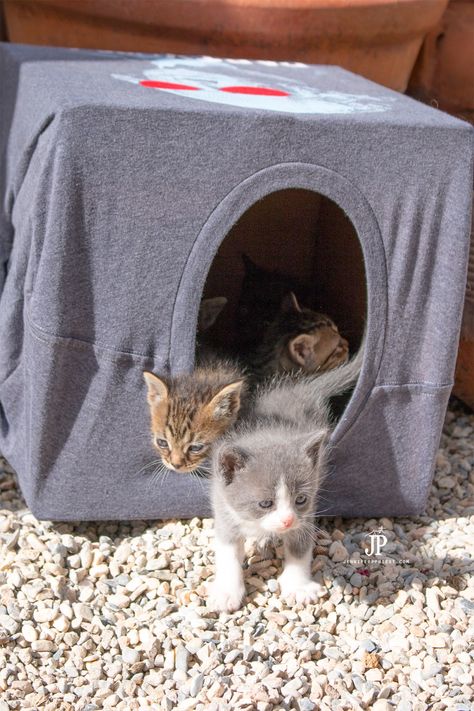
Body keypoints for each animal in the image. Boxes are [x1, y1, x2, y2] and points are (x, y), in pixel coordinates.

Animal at [206, 342, 364, 616]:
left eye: (300, 499)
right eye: (265, 503)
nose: (287, 520)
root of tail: (300, 388)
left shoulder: (307, 514)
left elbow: (300, 547)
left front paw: (298, 586)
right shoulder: (223, 505)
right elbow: (227, 551)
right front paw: (227, 591)